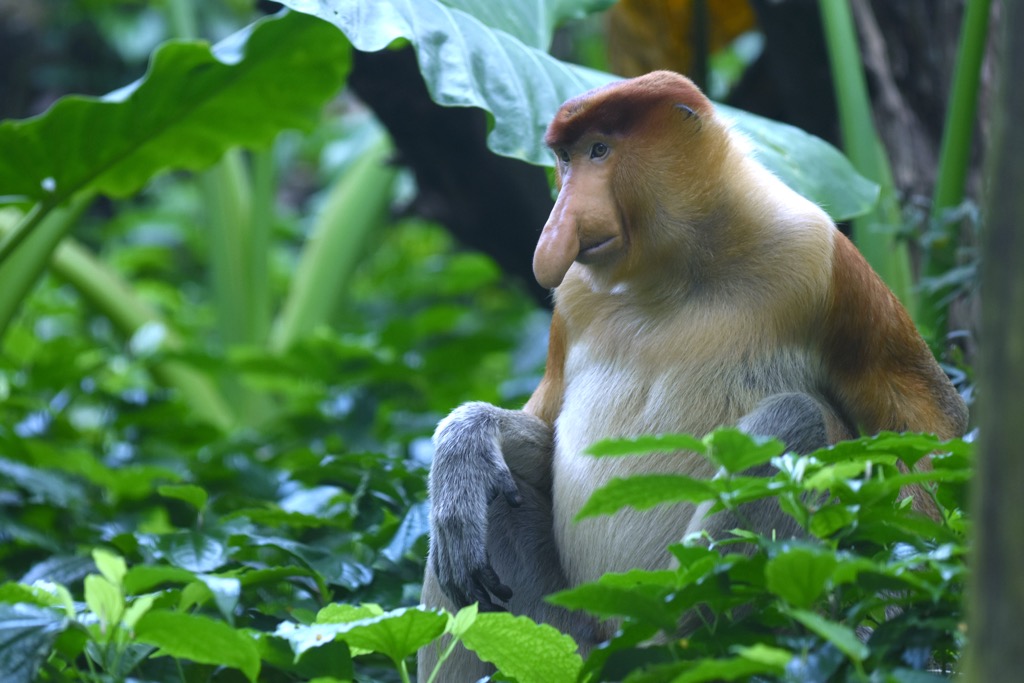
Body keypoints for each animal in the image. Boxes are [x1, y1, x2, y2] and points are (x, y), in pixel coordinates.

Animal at [417, 71, 968, 681]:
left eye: (599, 150)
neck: (678, 271)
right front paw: (465, 444)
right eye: (564, 159)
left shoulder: (823, 262)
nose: (556, 227)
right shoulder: (573, 302)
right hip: (562, 634)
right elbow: (542, 425)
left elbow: (923, 428)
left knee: (796, 417)